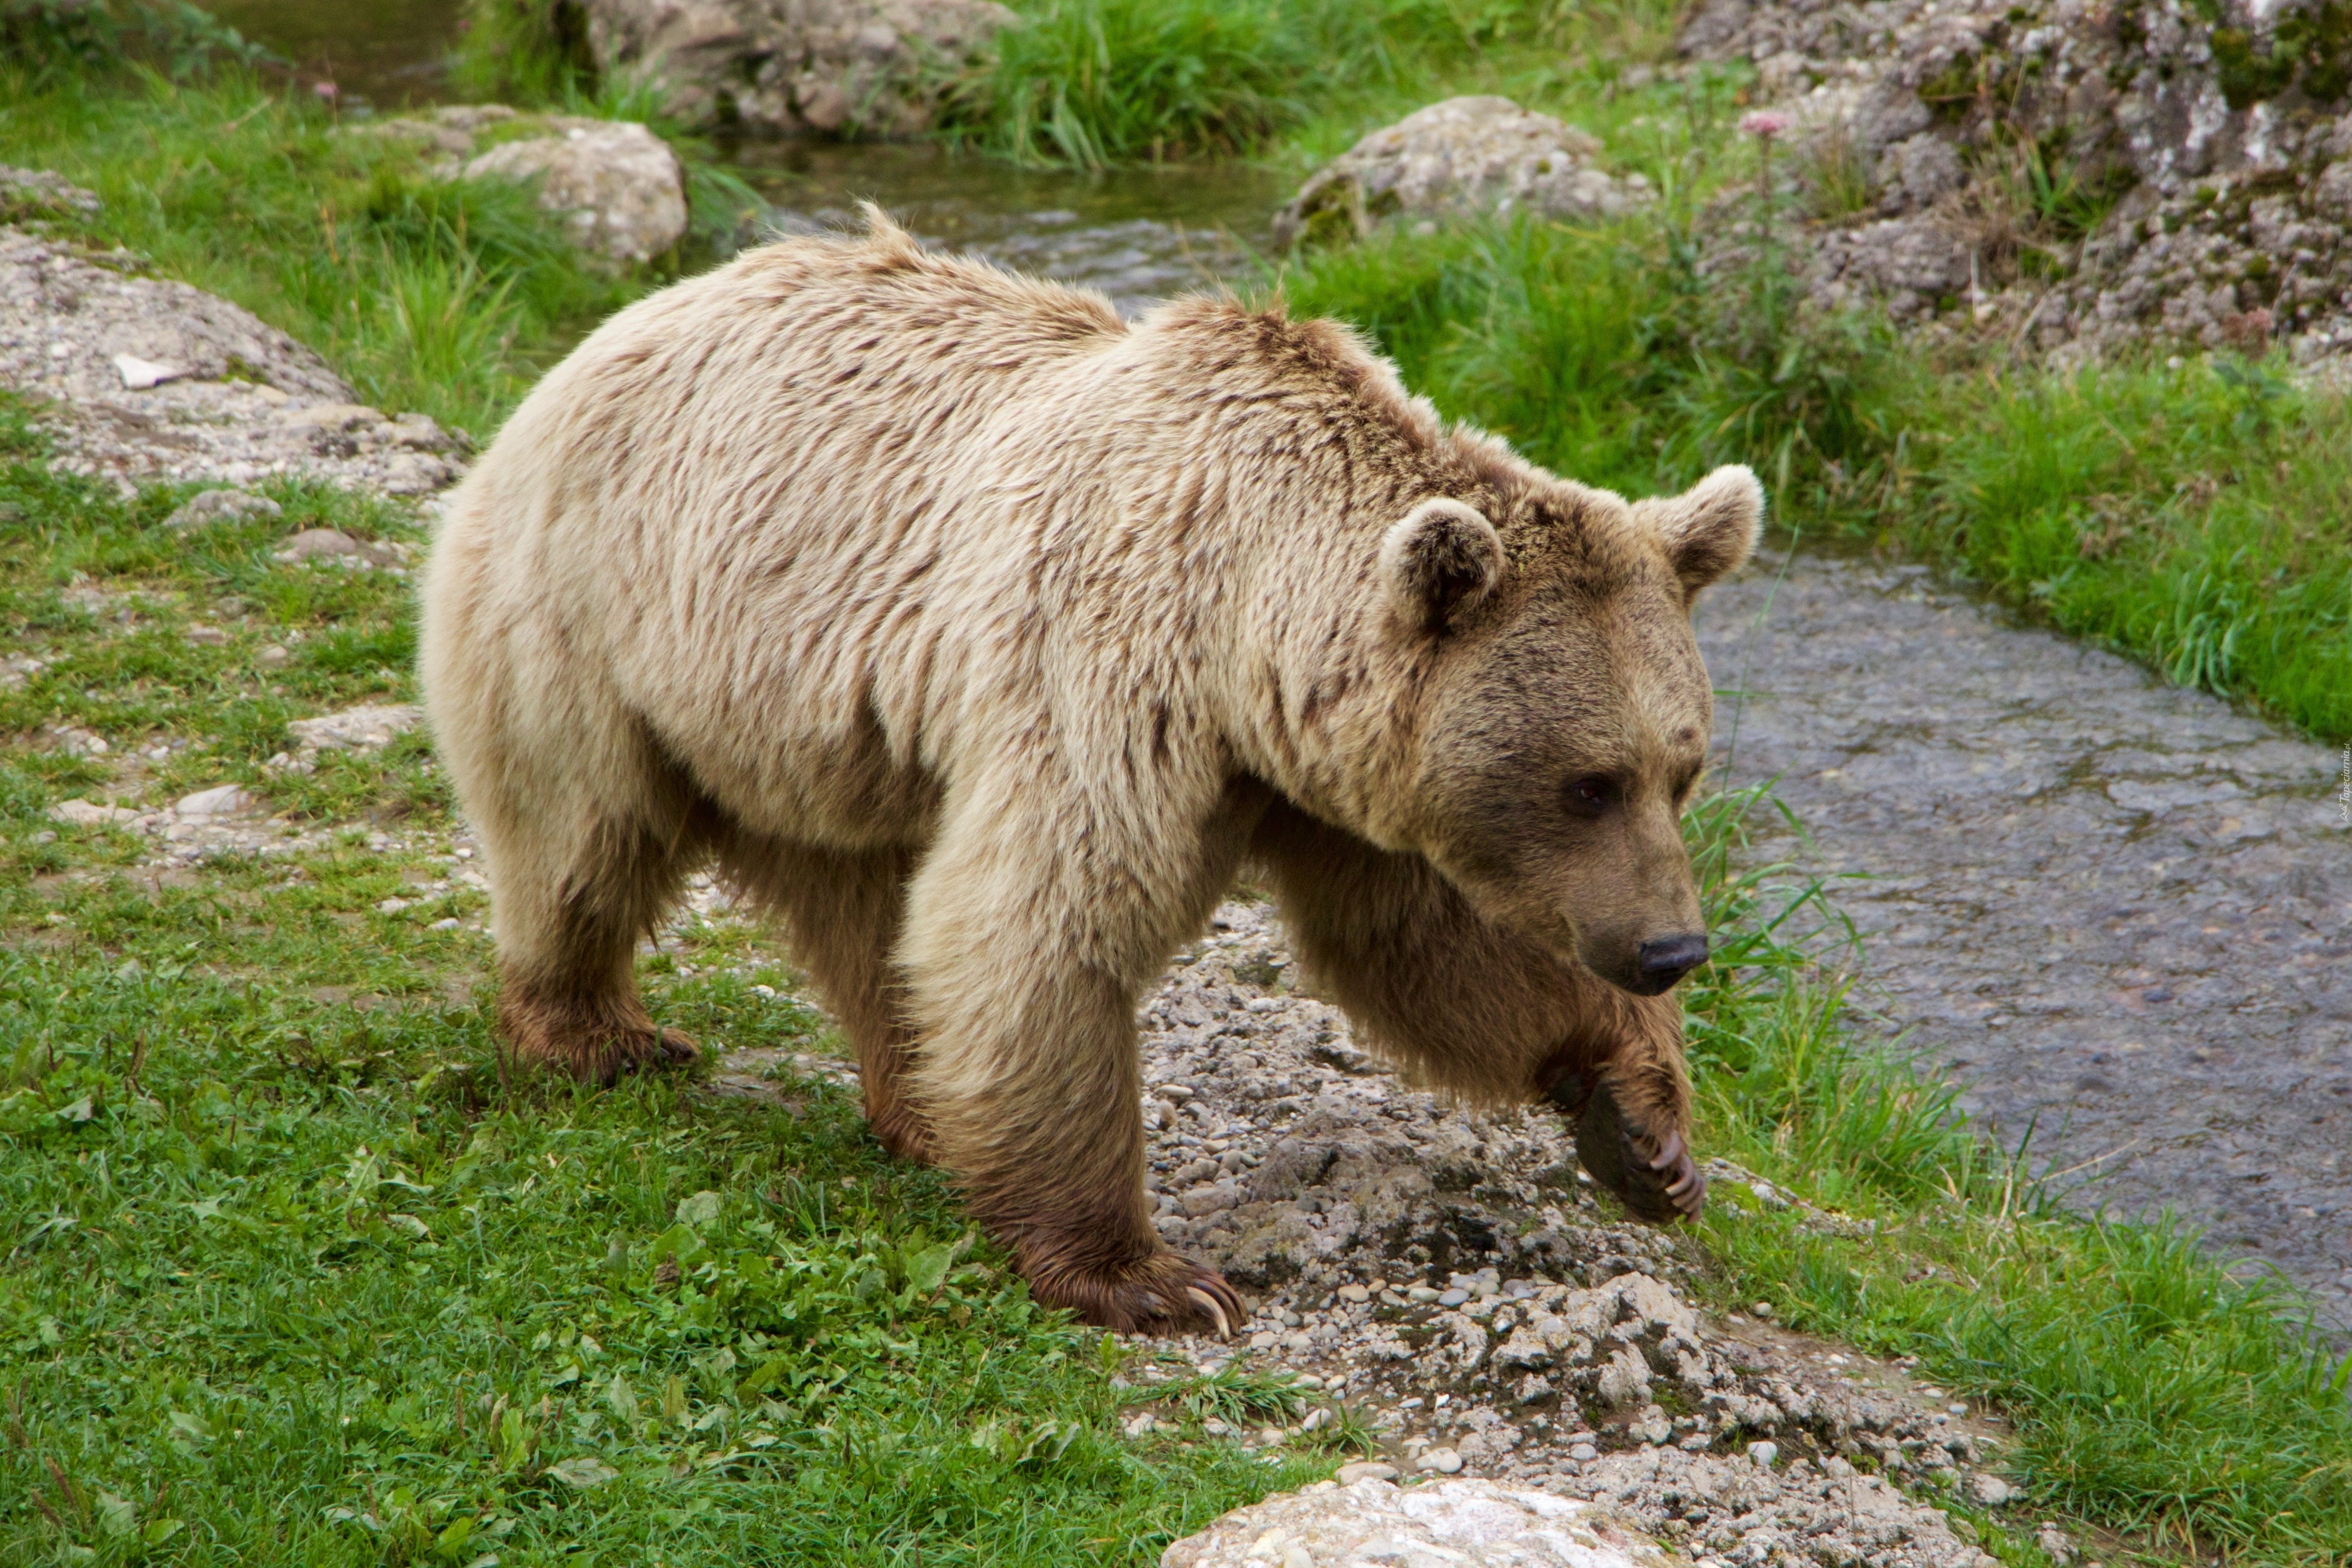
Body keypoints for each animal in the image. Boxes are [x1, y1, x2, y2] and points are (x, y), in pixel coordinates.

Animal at [414, 205, 1759, 1335]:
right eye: (1587, 781)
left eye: (1680, 769)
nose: (1671, 948)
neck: (1247, 631)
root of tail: (611, 329)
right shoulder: (1110, 667)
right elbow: (1047, 921)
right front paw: (1149, 1275)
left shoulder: (1329, 778)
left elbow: (1426, 944)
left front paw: (1643, 1127)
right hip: (607, 616)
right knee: (582, 832)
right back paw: (596, 1032)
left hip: (822, 735)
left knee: (870, 911)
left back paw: (920, 1104)